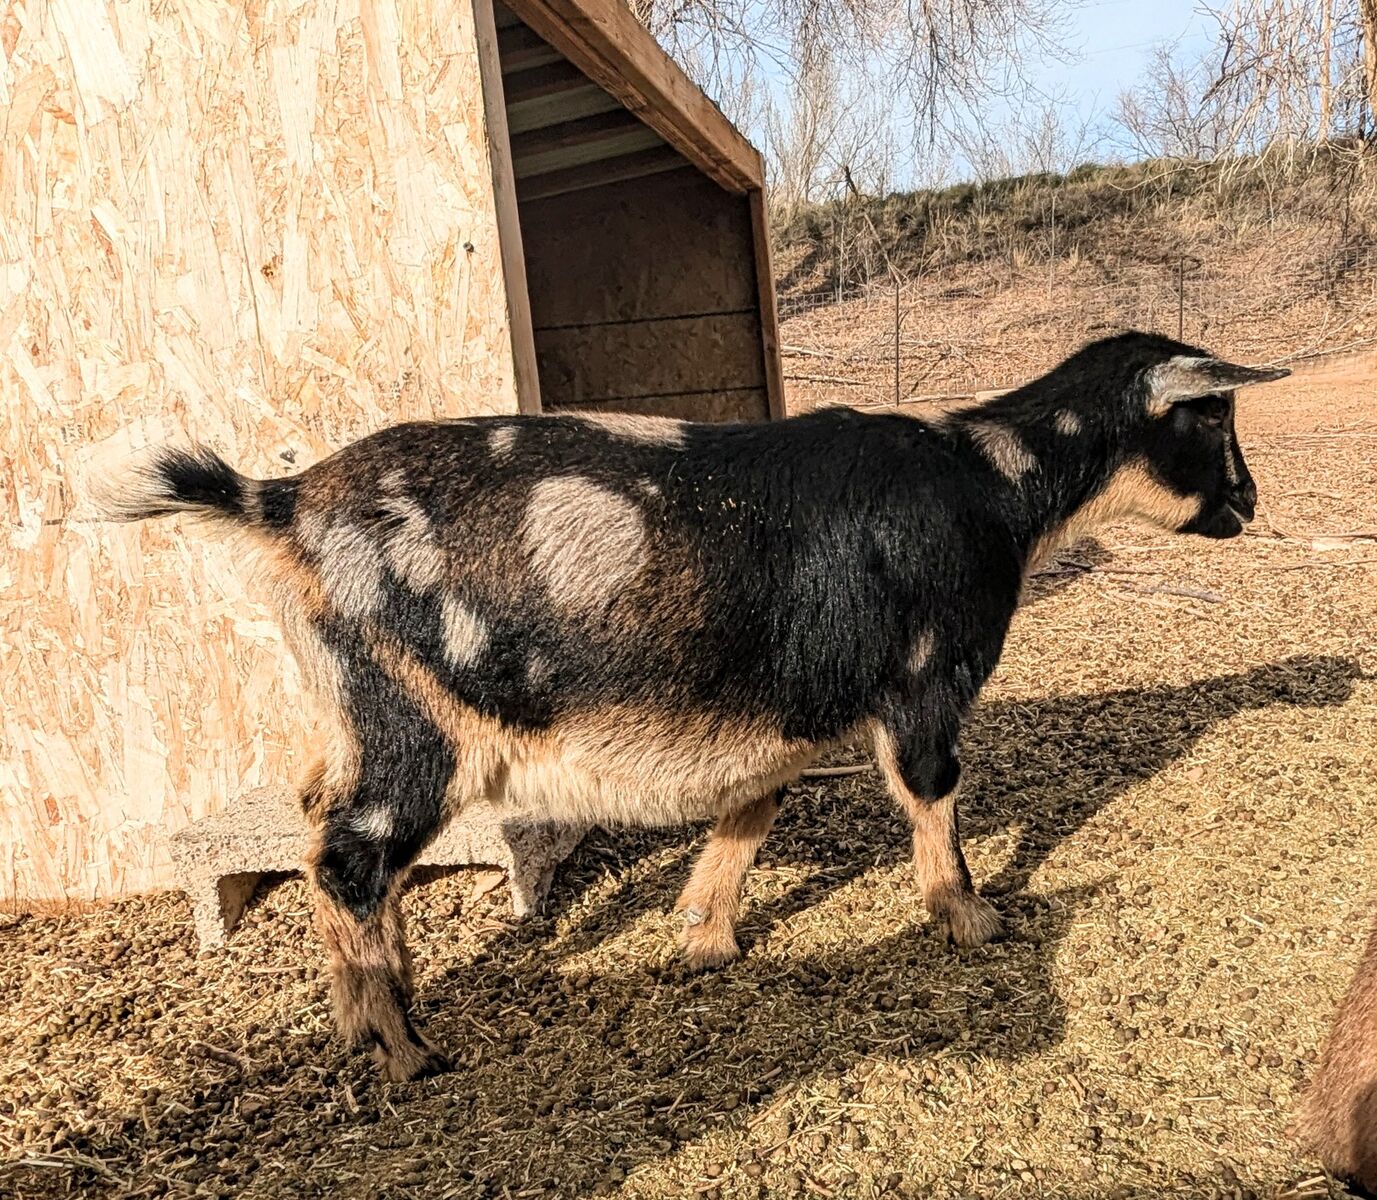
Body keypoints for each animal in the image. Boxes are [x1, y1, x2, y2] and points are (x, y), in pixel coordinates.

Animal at [93, 331, 1288, 1081]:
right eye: (1212, 412)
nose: (1248, 503)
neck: (992, 483)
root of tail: (283, 500)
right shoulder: (924, 682)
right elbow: (933, 794)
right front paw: (972, 919)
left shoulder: (777, 702)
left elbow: (752, 806)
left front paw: (702, 938)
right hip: (412, 724)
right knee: (347, 851)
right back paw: (405, 1051)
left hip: (348, 703)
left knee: (312, 816)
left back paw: (361, 1018)